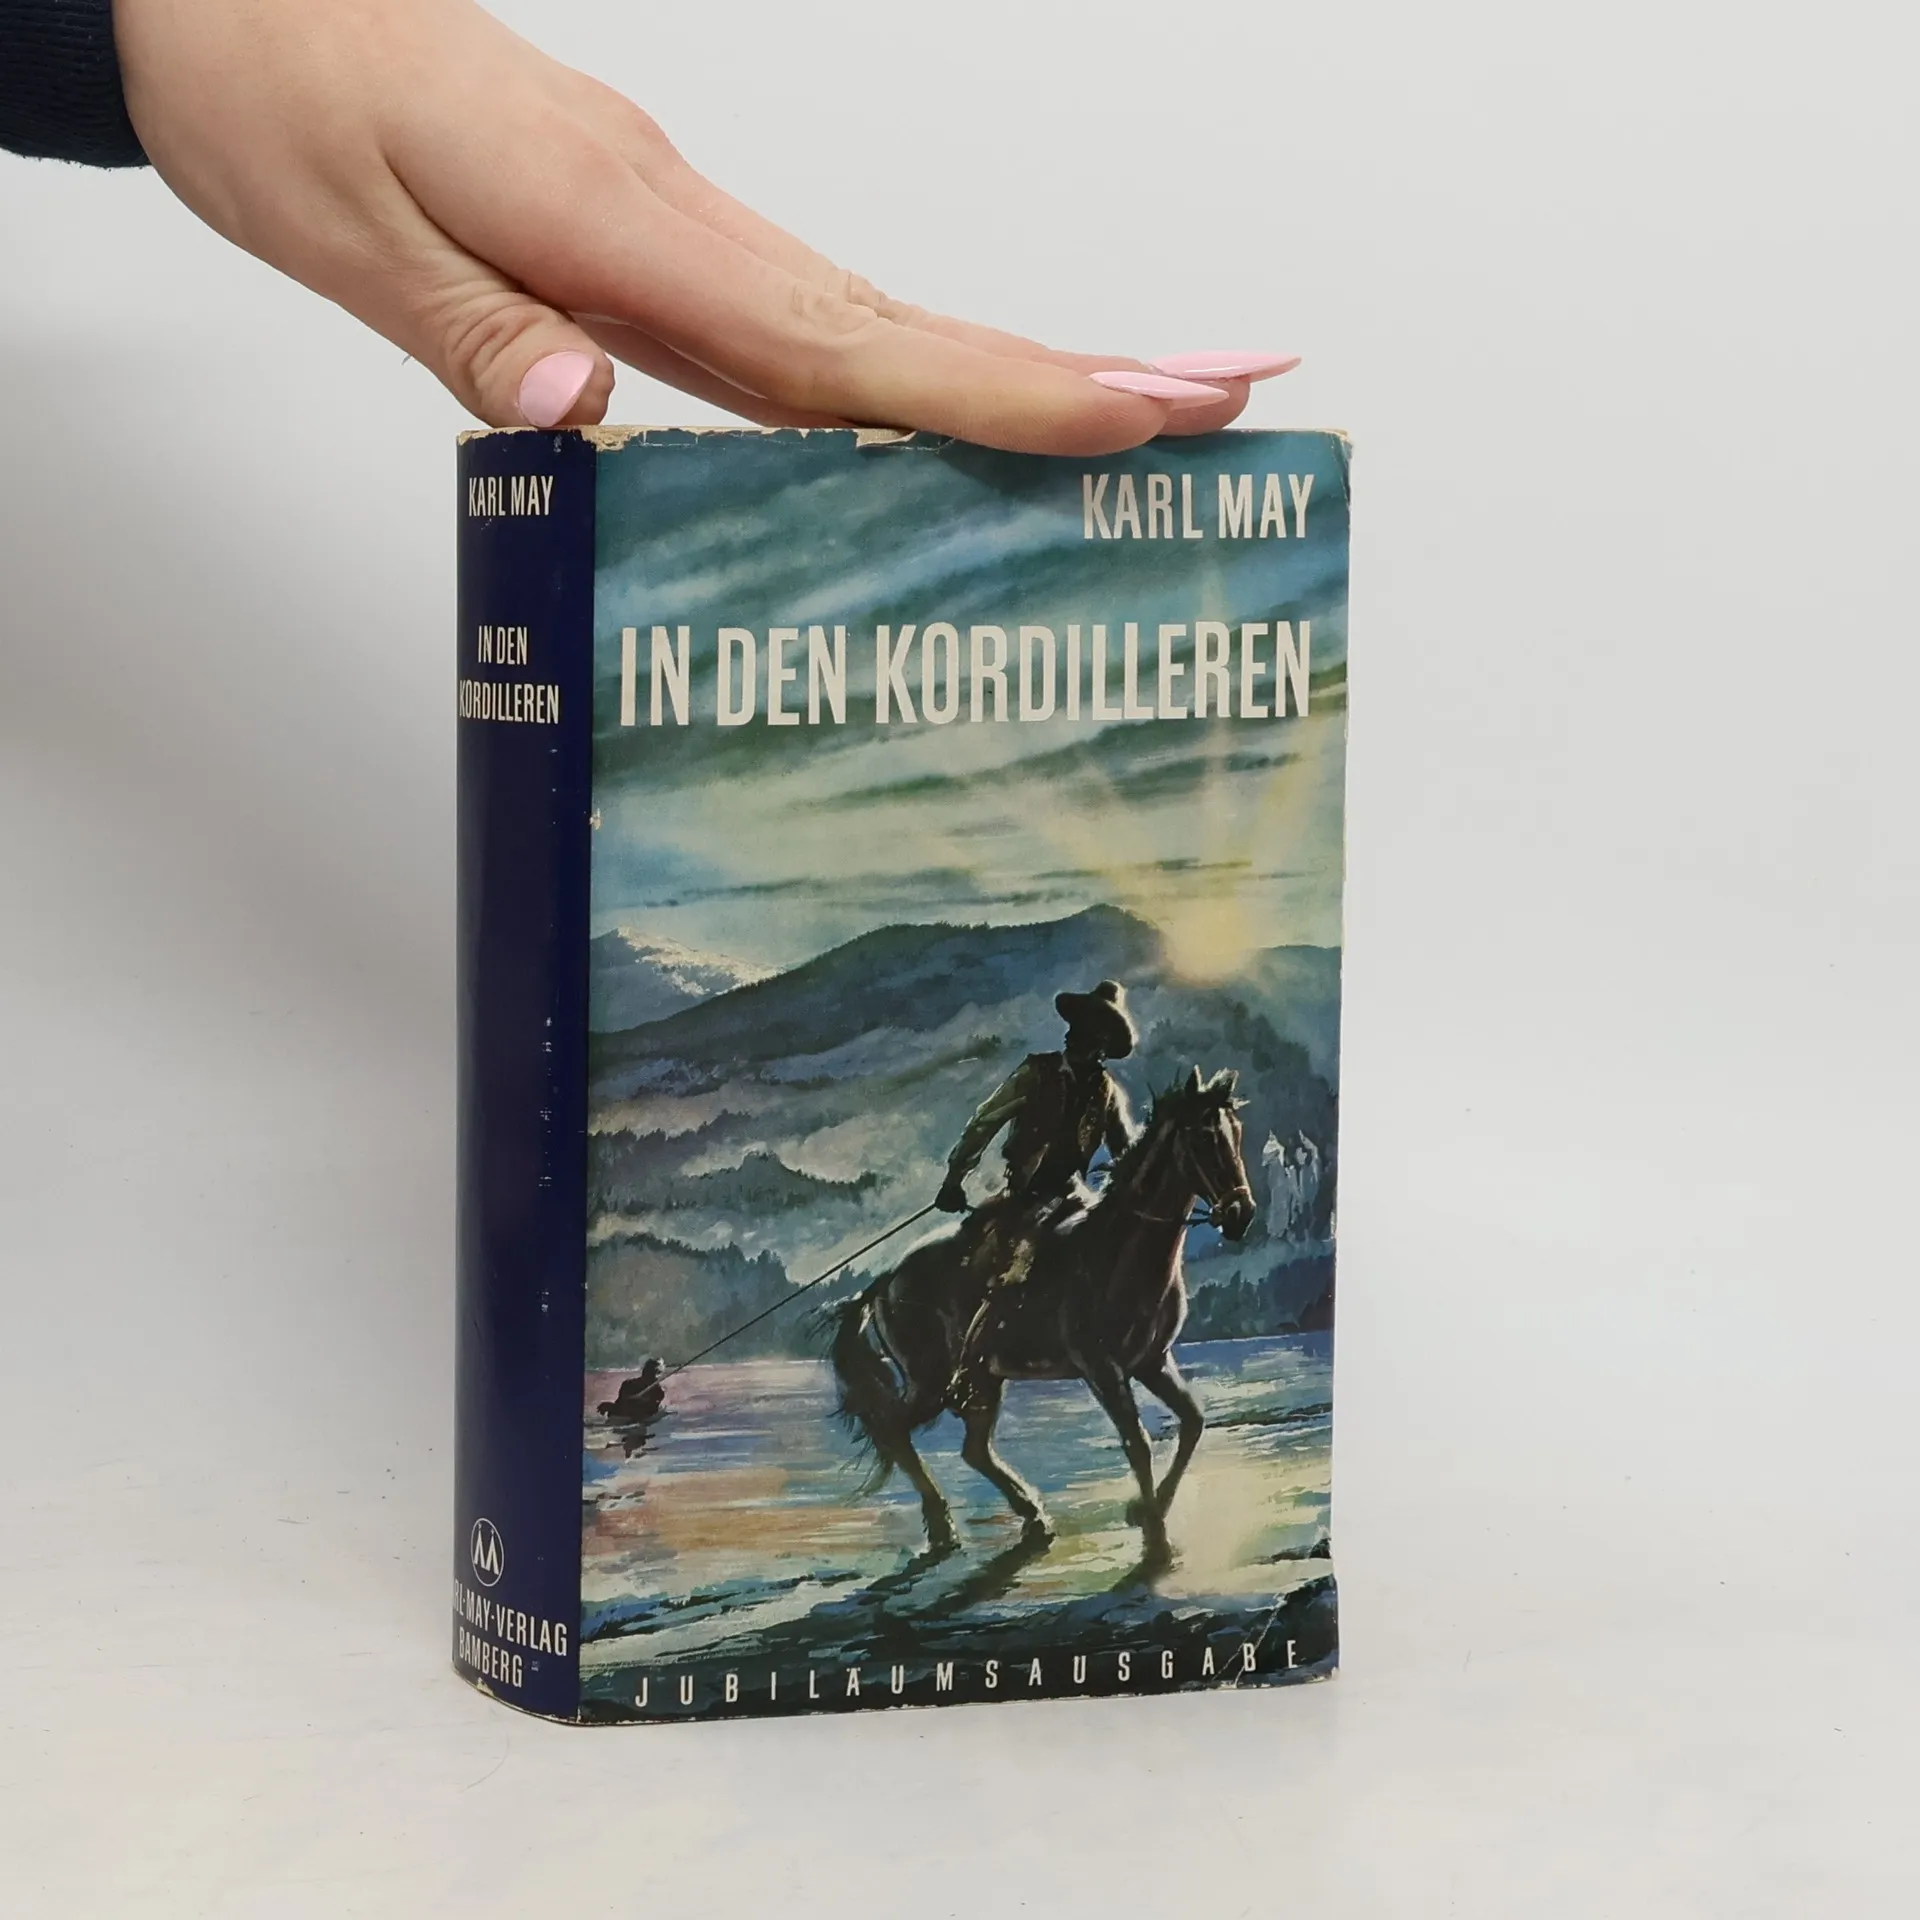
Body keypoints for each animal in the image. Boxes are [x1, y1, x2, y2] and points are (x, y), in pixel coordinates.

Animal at [825, 1066, 1257, 1563]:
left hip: (980, 1379)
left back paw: (1030, 1515)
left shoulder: (1153, 1361)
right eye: (1205, 1136)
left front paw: (1146, 1512)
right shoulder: (1102, 1369)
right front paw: (1154, 1534)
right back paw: (944, 1527)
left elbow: (1193, 1422)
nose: (1241, 1214)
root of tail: (887, 1279)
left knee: (972, 1449)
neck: (1118, 1253)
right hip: (932, 1380)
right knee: (896, 1430)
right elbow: (1138, 1443)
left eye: (1237, 1132)